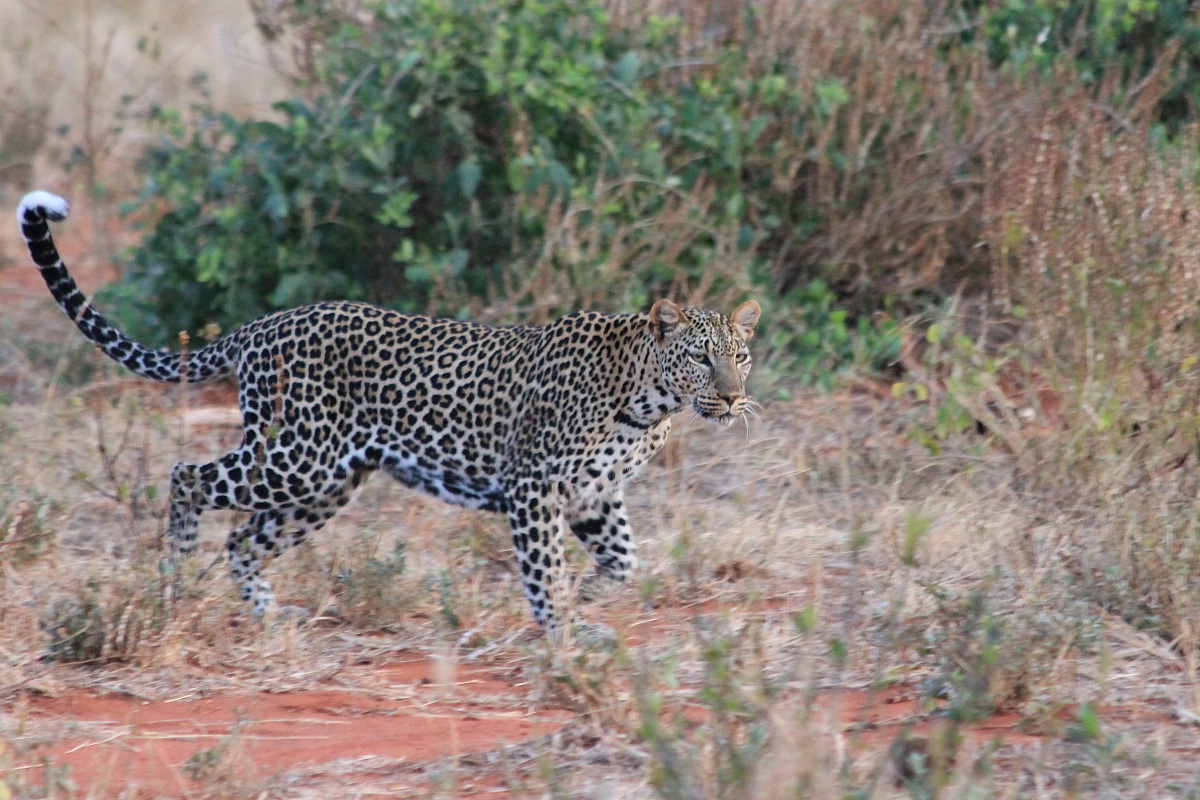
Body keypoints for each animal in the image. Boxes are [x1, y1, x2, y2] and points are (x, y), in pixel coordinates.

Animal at [17, 190, 761, 636]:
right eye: (700, 358)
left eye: (741, 356)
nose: (731, 397)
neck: (648, 403)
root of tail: (260, 325)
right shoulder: (535, 488)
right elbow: (545, 568)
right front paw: (561, 632)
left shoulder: (594, 497)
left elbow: (623, 562)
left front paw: (595, 605)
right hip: (295, 456)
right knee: (187, 477)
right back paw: (172, 583)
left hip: (327, 483)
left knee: (243, 539)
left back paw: (270, 617)